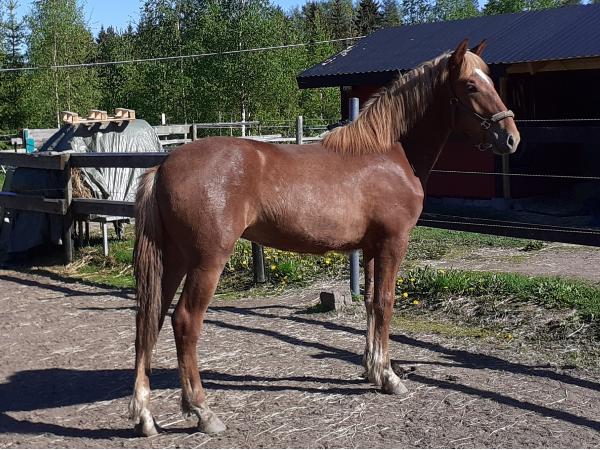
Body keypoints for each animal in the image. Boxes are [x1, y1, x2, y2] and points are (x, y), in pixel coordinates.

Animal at [129, 39, 520, 436]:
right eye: (470, 85)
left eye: (491, 80)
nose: (511, 137)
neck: (388, 153)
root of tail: (163, 165)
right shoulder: (393, 243)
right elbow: (386, 303)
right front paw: (390, 378)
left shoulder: (371, 248)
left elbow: (370, 304)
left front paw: (373, 371)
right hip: (207, 261)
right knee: (184, 321)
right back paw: (203, 411)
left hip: (174, 259)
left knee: (150, 318)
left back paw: (145, 416)